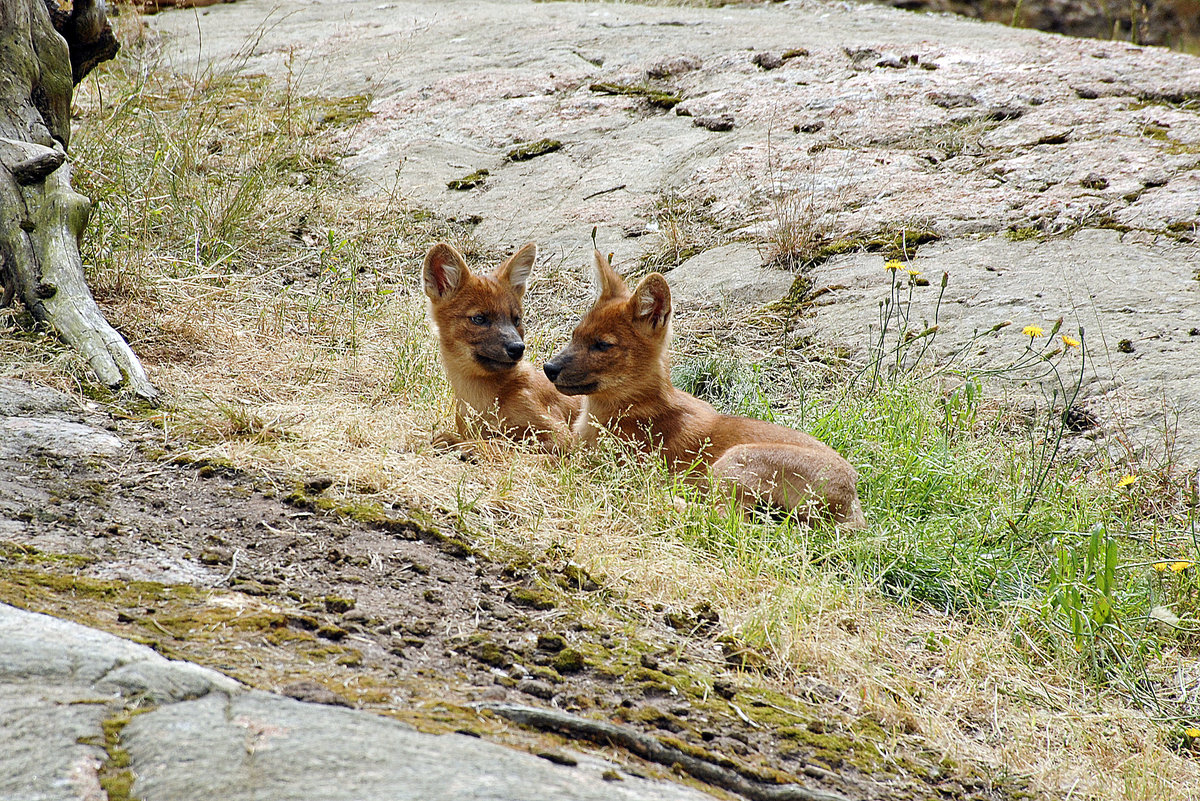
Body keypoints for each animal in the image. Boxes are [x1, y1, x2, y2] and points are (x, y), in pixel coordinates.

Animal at [424, 241, 578, 453]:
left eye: (516, 320)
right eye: (479, 318)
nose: (517, 348)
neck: (480, 400)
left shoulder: (560, 435)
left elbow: (504, 440)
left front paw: (468, 448)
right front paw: (450, 441)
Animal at [542, 247, 864, 527]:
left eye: (602, 345)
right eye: (575, 335)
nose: (549, 368)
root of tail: (851, 504)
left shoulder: (605, 465)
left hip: (734, 461)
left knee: (727, 518)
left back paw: (659, 500)